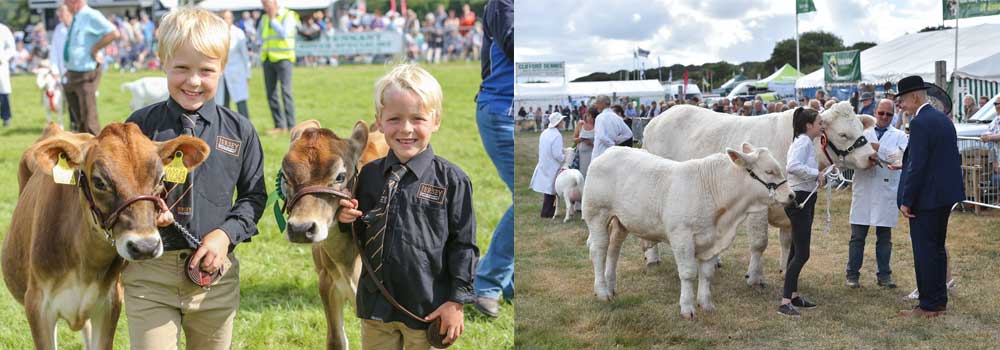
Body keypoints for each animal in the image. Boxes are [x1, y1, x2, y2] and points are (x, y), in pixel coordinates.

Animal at [584, 144, 792, 318]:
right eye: (769, 171)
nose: (792, 195)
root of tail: (610, 151)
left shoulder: (711, 240)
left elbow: (707, 273)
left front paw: (706, 304)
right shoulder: (681, 236)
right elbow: (688, 273)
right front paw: (687, 308)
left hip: (621, 222)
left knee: (613, 250)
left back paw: (611, 286)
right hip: (597, 214)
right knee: (599, 250)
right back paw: (602, 291)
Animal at [640, 102, 876, 288]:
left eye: (860, 129)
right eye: (843, 134)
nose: (872, 156)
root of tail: (659, 117)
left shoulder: (789, 206)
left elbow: (787, 242)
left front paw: (785, 270)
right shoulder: (758, 208)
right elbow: (759, 242)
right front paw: (754, 277)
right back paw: (652, 257)